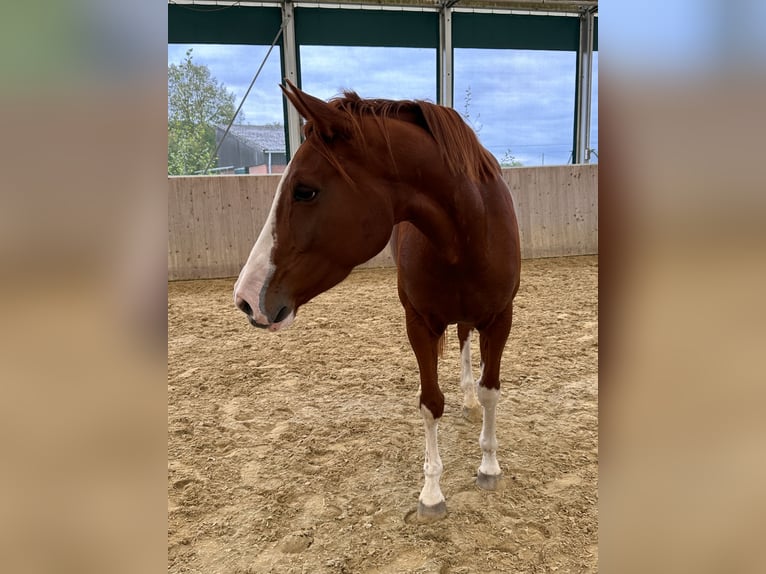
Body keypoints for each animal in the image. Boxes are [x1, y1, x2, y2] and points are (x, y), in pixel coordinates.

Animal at [234, 81, 520, 520]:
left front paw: (489, 467)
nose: (247, 298)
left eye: (305, 190)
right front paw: (431, 493)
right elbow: (430, 402)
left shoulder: (500, 319)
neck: (470, 232)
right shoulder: (418, 323)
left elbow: (491, 390)